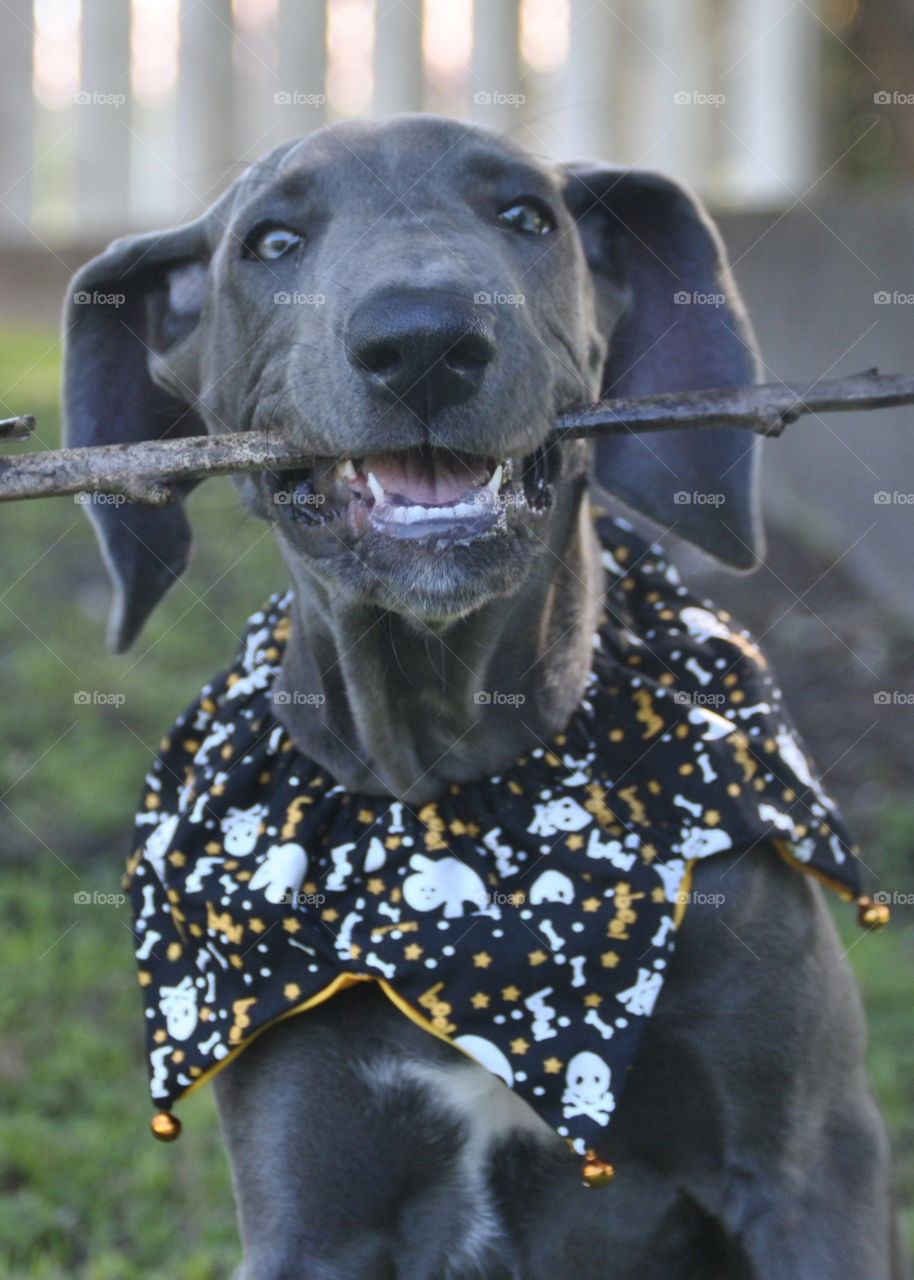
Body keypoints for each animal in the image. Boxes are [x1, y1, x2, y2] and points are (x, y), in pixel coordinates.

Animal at [62, 117, 896, 1280]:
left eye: (524, 217)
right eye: (272, 241)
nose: (421, 341)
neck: (451, 773)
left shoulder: (810, 1162)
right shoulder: (310, 1217)